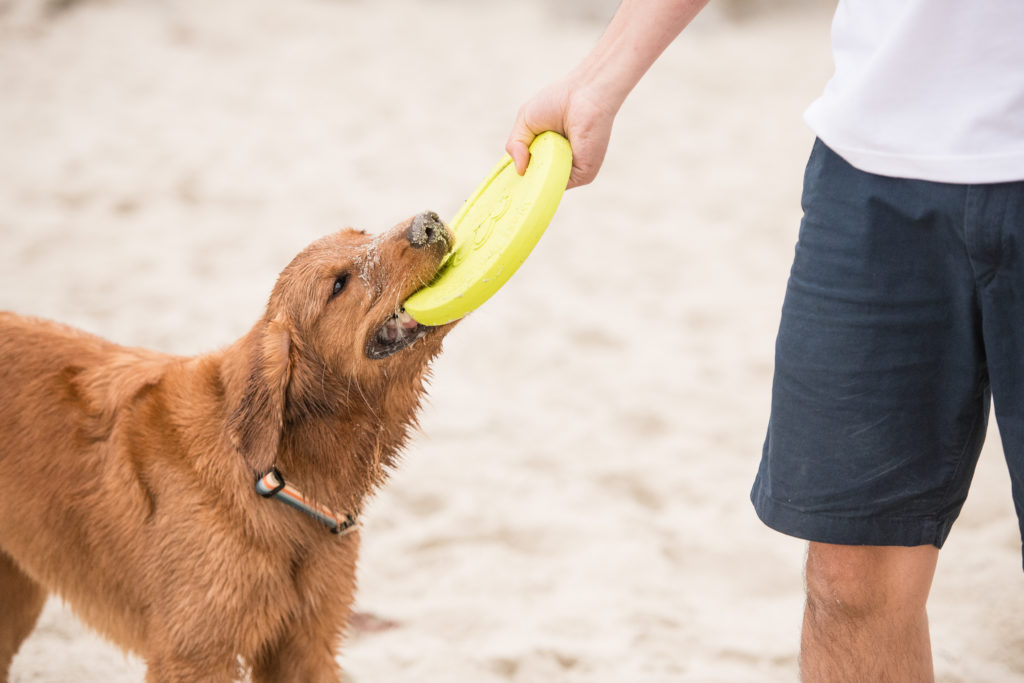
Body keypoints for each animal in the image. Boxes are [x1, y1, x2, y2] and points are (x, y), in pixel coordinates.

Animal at [0, 210, 456, 679]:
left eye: (361, 234)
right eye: (338, 285)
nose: (427, 222)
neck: (270, 470)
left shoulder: (306, 644)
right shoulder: (194, 654)